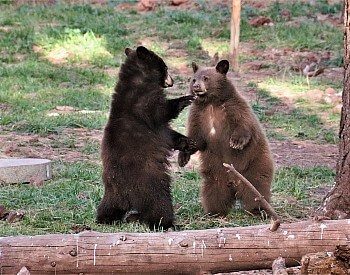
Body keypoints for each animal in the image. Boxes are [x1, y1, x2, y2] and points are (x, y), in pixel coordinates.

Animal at [97, 47, 197, 231]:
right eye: (165, 67)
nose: (172, 81)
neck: (137, 81)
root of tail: (126, 196)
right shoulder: (143, 105)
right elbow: (162, 112)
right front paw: (185, 98)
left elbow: (170, 135)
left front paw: (190, 143)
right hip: (152, 184)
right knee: (160, 205)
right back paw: (167, 223)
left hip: (111, 193)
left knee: (108, 207)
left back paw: (107, 218)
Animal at [179, 60, 274, 218]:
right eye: (193, 79)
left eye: (206, 78)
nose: (196, 87)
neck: (211, 103)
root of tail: (235, 186)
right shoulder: (198, 115)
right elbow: (196, 137)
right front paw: (182, 158)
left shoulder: (233, 107)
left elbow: (243, 124)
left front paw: (235, 143)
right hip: (216, 173)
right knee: (214, 192)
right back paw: (214, 212)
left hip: (255, 165)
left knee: (257, 189)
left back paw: (258, 210)